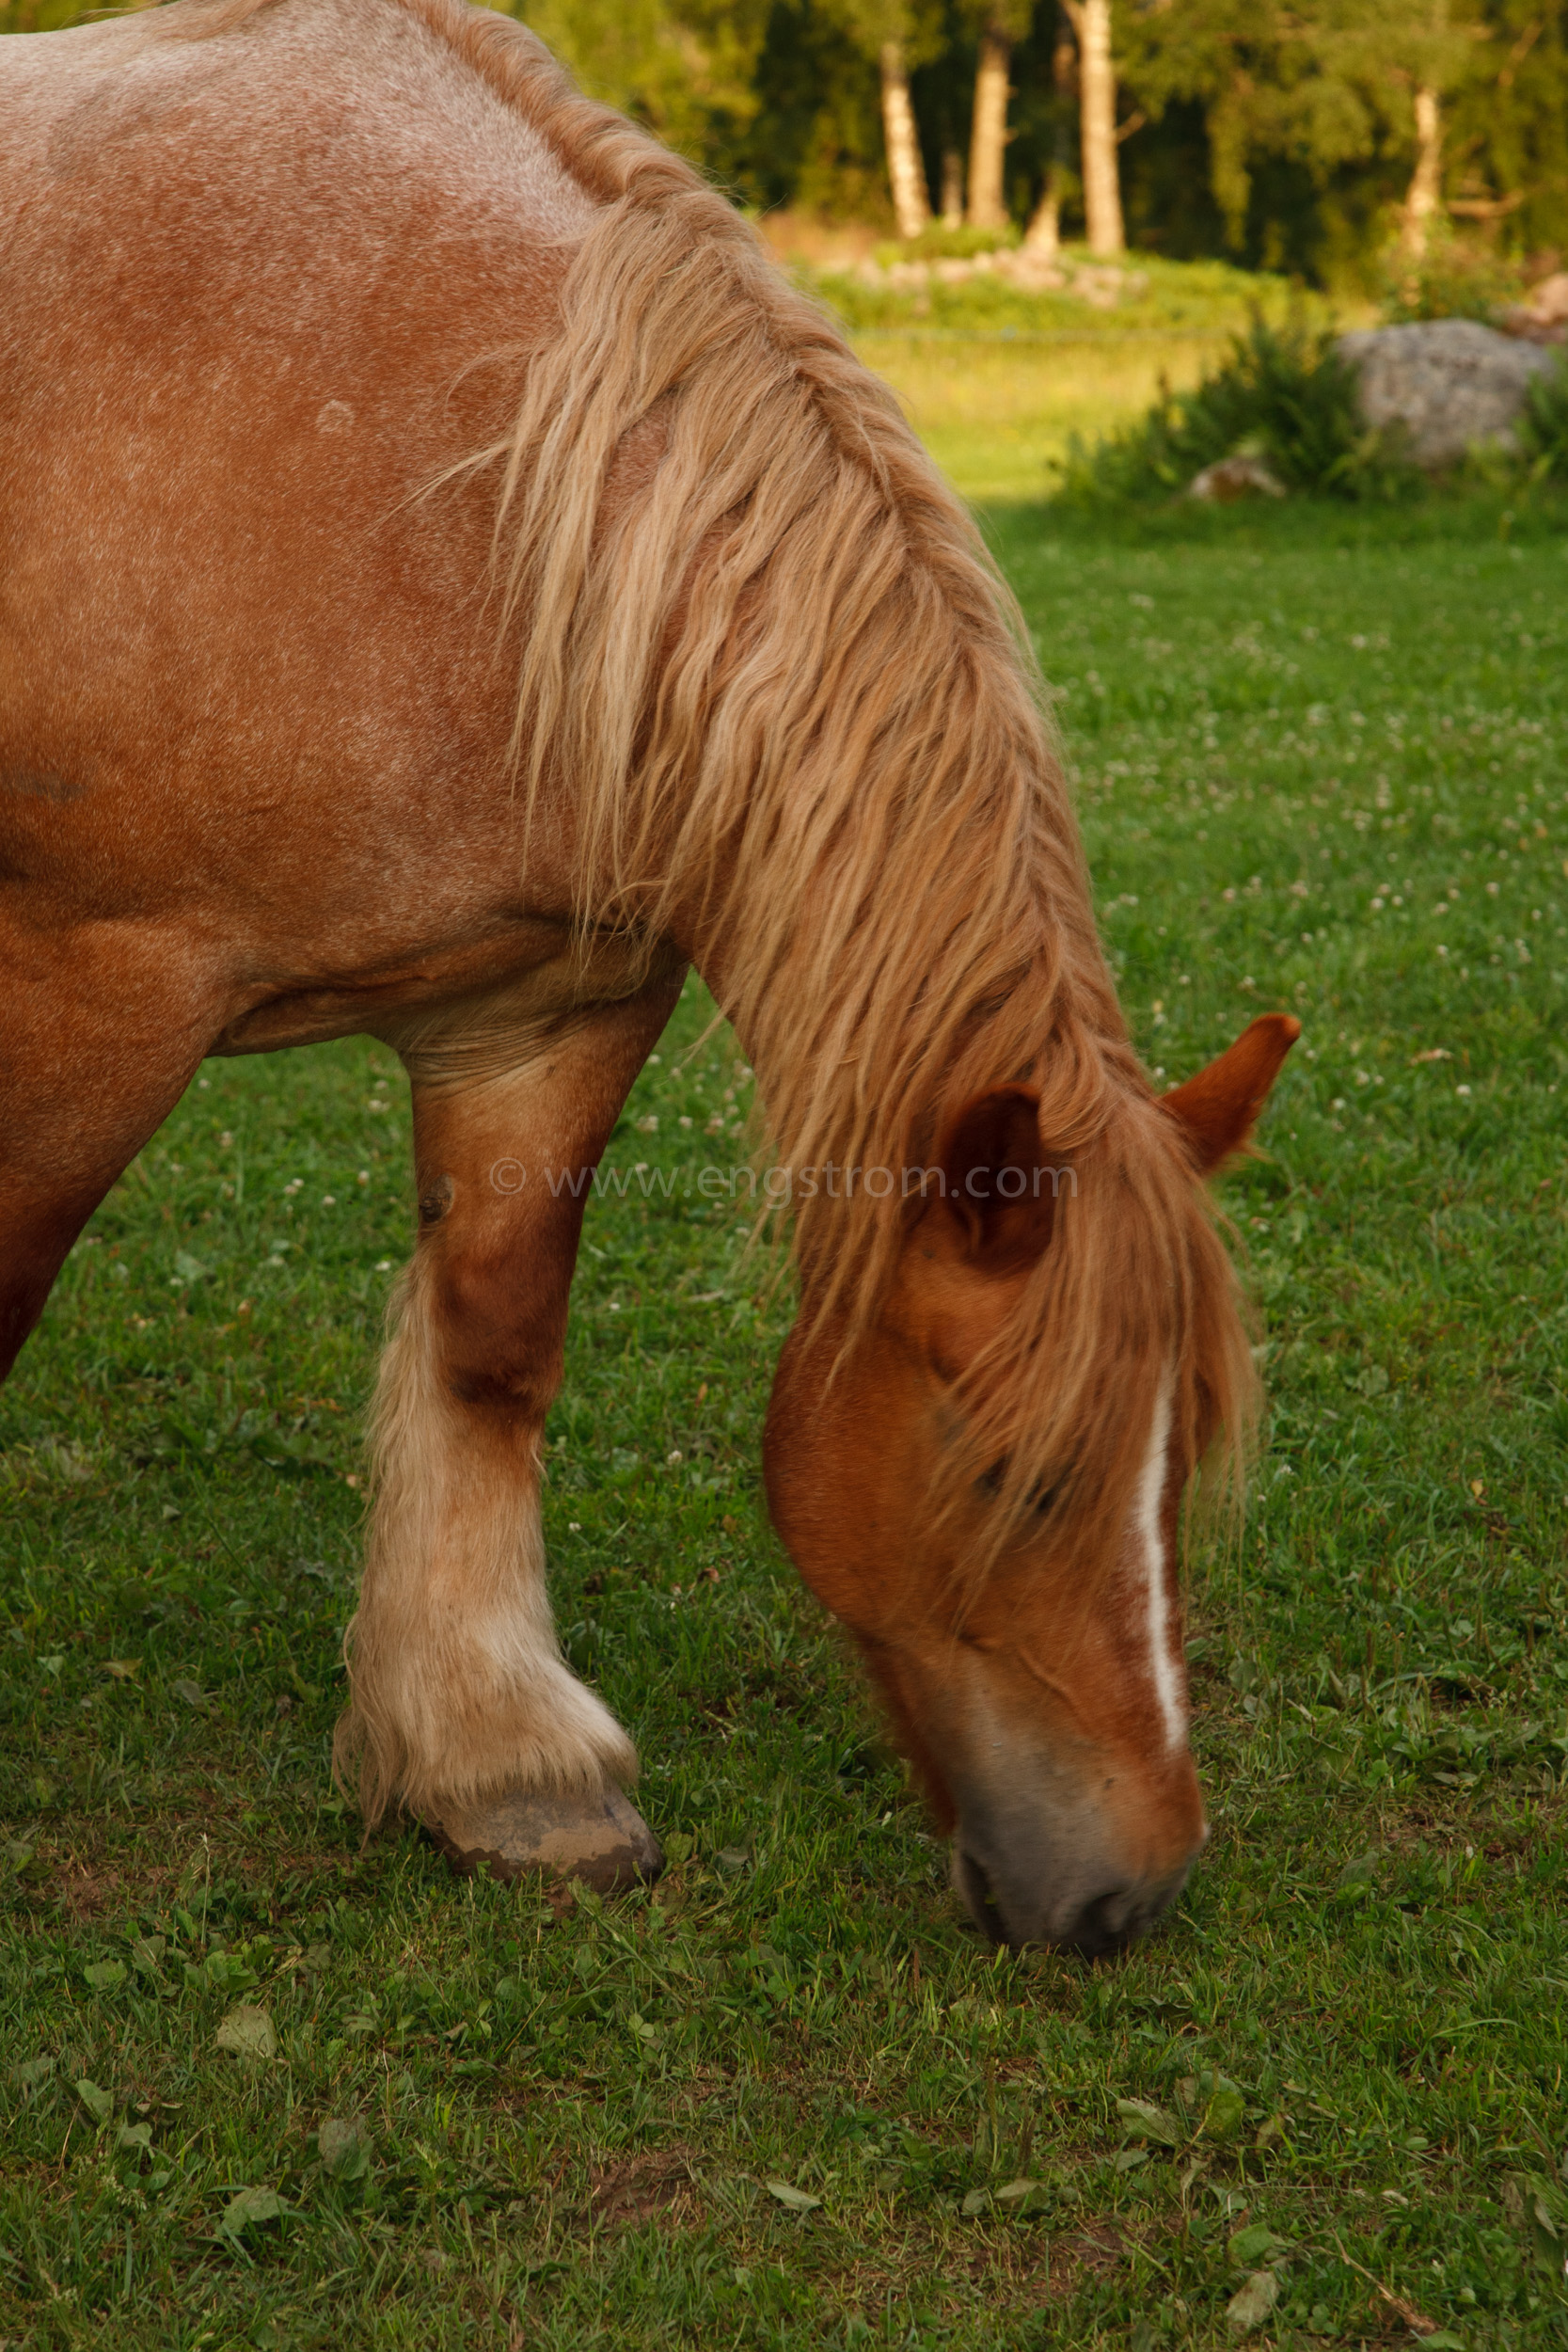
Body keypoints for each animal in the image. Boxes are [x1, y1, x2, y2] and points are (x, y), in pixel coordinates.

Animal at [0, 0, 1297, 1947]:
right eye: (1018, 1472)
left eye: (1179, 1464)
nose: (1127, 1893)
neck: (443, 487)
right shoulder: (94, 999)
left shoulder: (548, 1008)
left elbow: (491, 1348)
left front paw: (501, 1769)